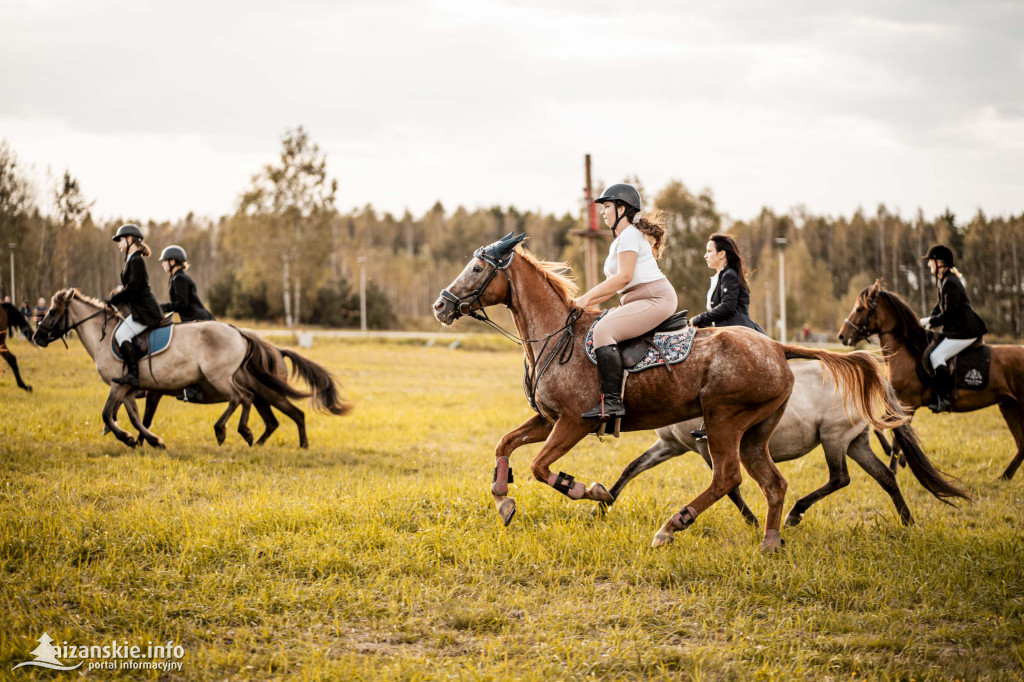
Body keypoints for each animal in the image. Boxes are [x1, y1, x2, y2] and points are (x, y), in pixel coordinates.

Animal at [430, 232, 905, 548]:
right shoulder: (547, 419)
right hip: (756, 431)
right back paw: (770, 541)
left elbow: (540, 466)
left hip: (724, 421)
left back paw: (672, 526)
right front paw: (503, 501)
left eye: (477, 268)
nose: (440, 305)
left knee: (729, 477)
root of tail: (776, 347)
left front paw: (587, 491)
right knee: (773, 483)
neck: (555, 337)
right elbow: (504, 444)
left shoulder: (572, 423)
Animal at [598, 358, 966, 522]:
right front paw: (601, 504)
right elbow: (632, 468)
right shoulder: (670, 446)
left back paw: (795, 513)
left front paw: (751, 520)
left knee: (840, 478)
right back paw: (907, 521)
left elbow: (729, 487)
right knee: (885, 476)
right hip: (855, 442)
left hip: (834, 440)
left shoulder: (706, 446)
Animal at [835, 280, 1024, 477]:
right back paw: (1003, 477)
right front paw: (900, 460)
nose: (842, 335)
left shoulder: (908, 404)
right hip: (1009, 406)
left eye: (859, 309)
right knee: (1021, 445)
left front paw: (894, 466)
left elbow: (896, 440)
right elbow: (880, 429)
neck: (907, 353)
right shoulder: (898, 404)